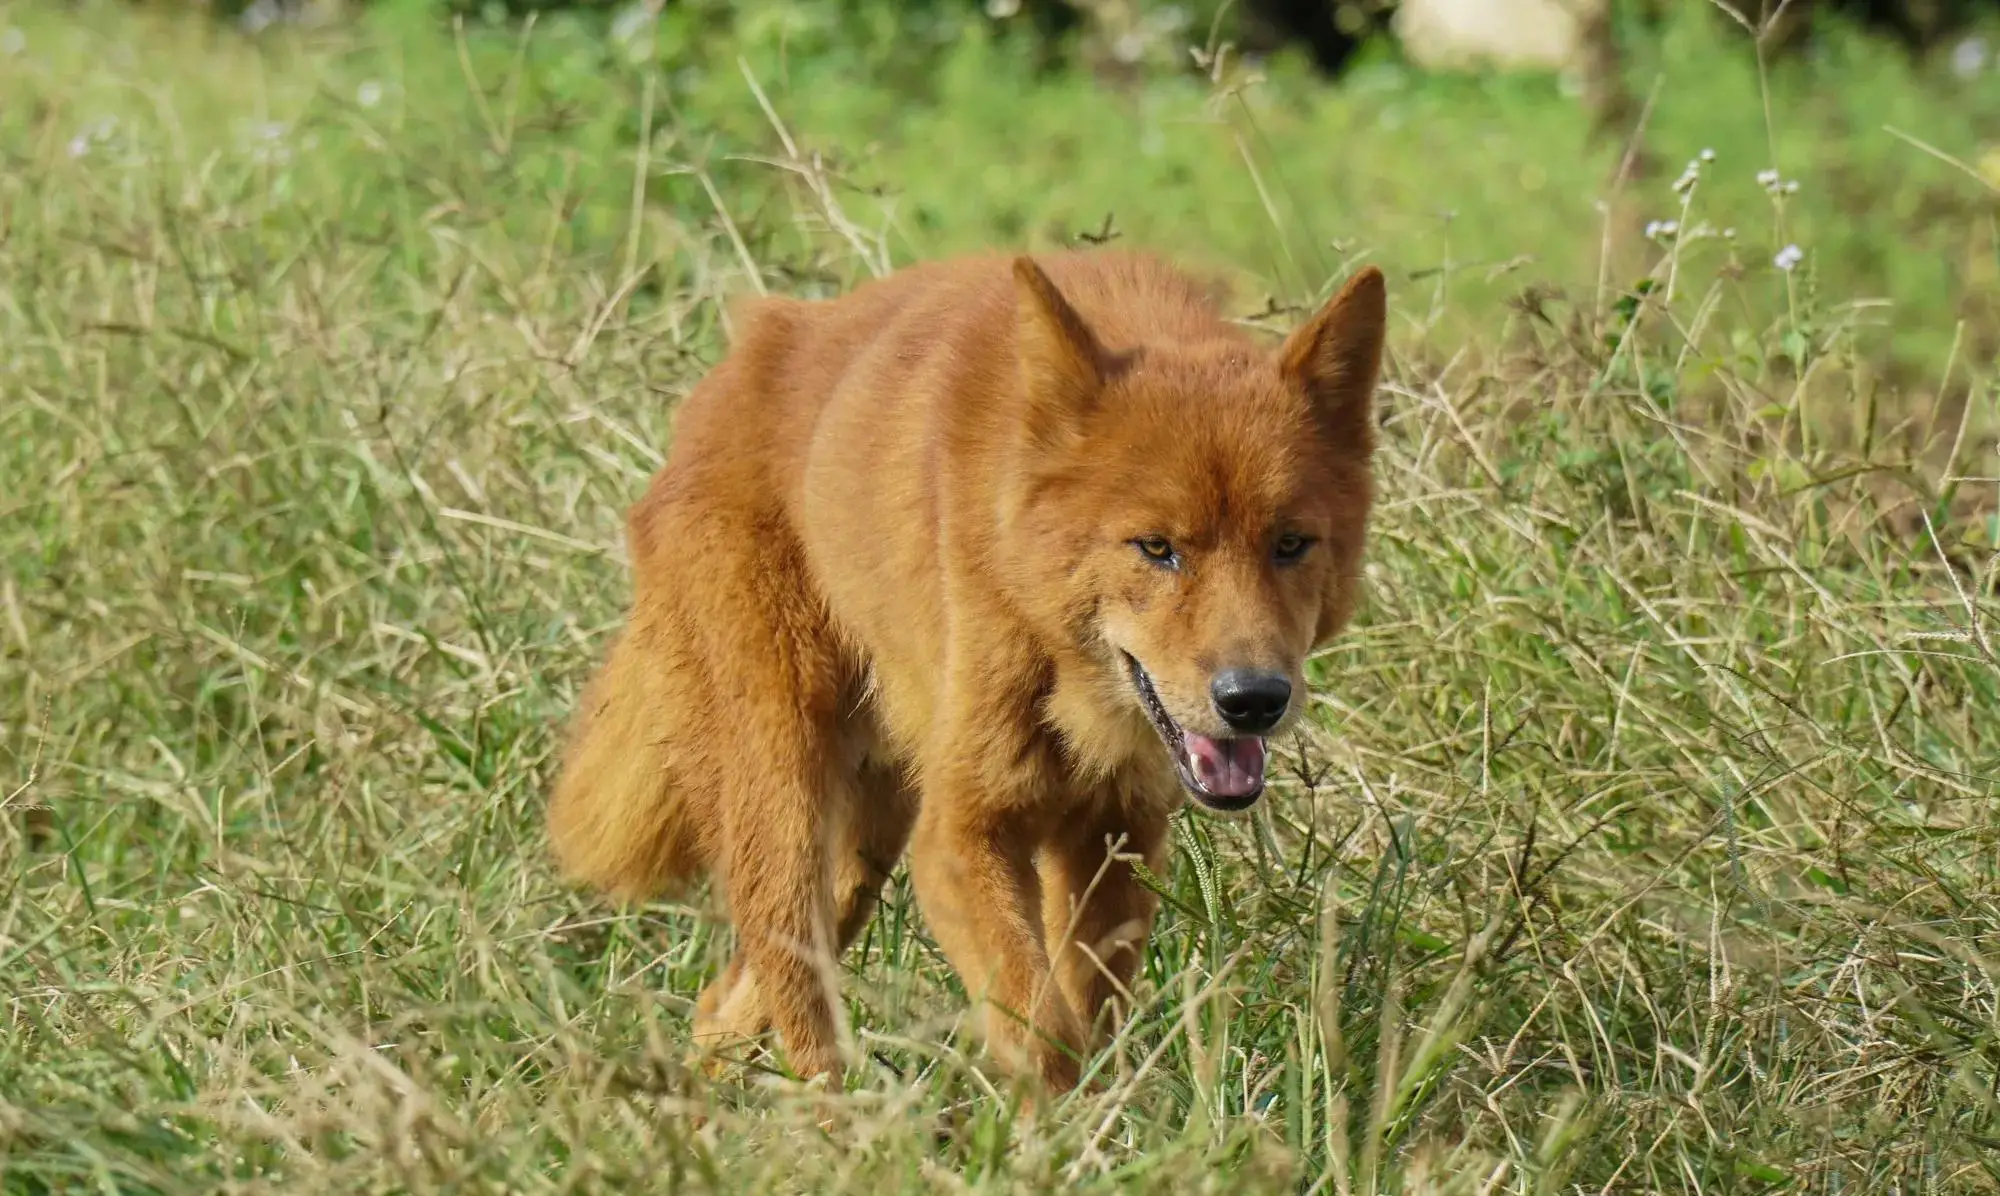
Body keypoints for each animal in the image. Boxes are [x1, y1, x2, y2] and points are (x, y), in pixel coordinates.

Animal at [548, 251, 1392, 1096]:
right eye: (1157, 548)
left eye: (1290, 544)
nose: (1253, 700)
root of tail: (730, 373)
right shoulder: (960, 838)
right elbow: (1043, 1031)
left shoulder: (1114, 839)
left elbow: (1089, 1019)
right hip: (788, 806)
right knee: (799, 1009)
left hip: (861, 856)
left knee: (722, 1009)